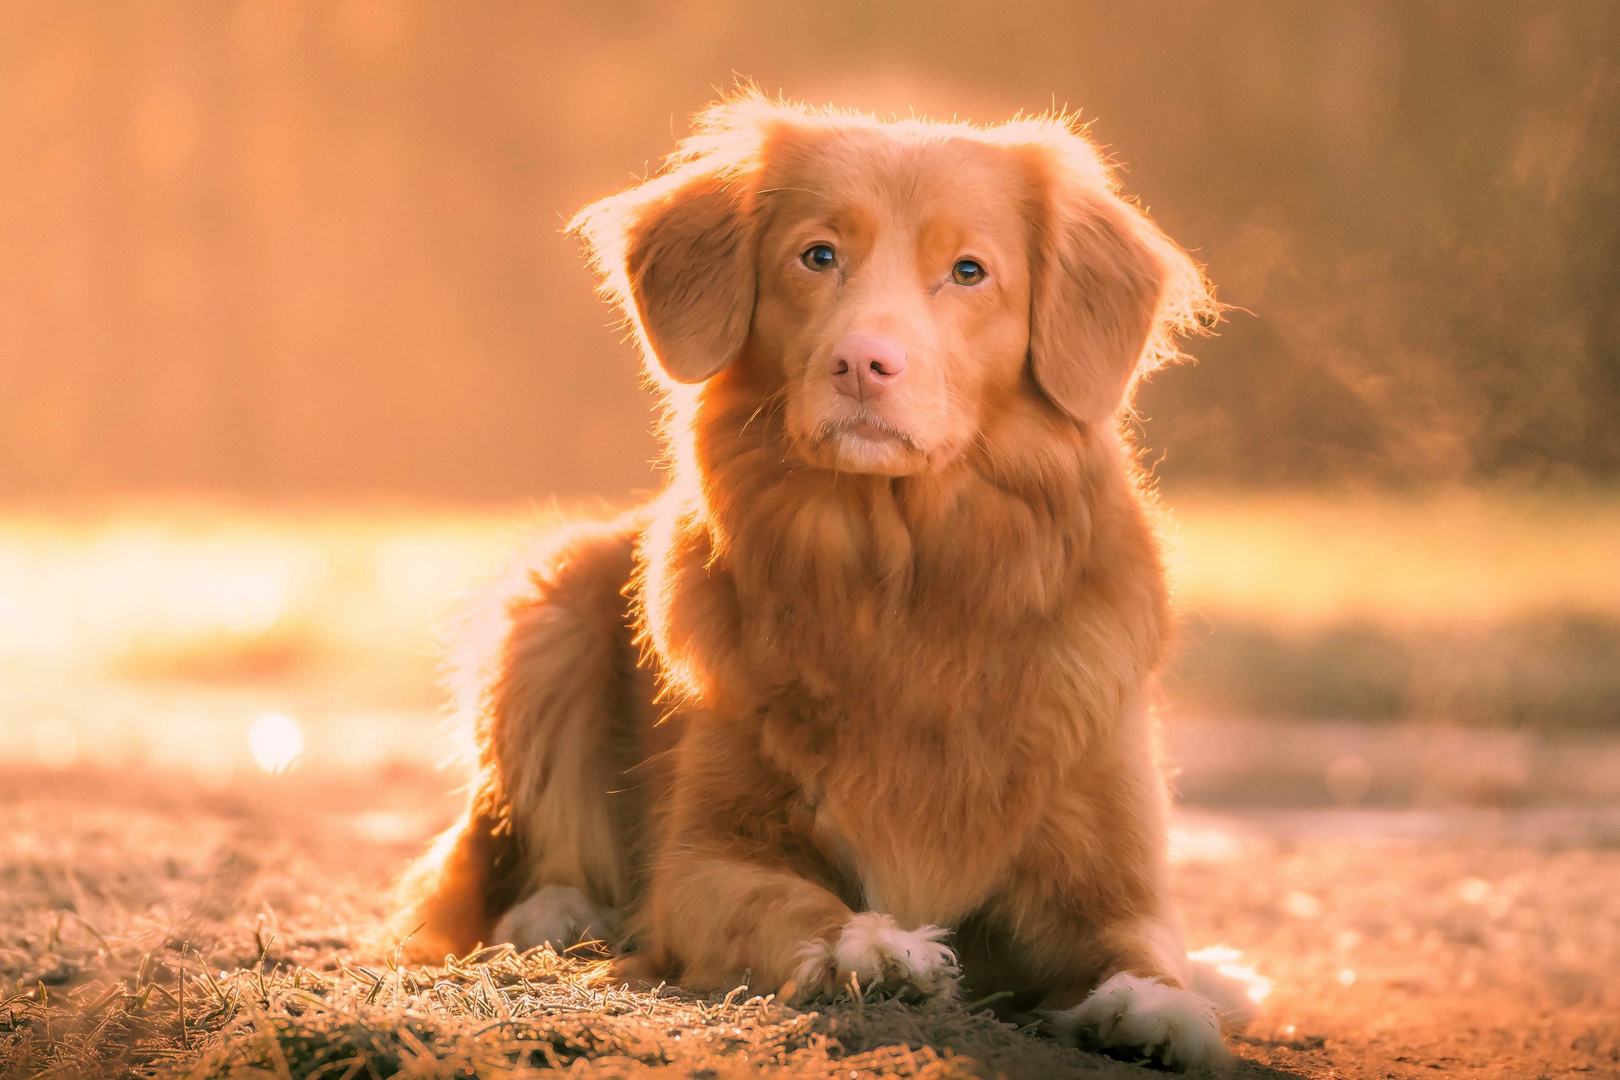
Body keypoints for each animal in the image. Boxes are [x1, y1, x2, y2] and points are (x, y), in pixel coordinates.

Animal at [392, 95, 1224, 1075]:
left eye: (969, 272)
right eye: (818, 255)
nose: (864, 362)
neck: (899, 588)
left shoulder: (1110, 869)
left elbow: (1145, 942)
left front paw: (1163, 1006)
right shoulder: (700, 861)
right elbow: (782, 899)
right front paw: (869, 946)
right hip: (547, 605)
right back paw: (557, 914)